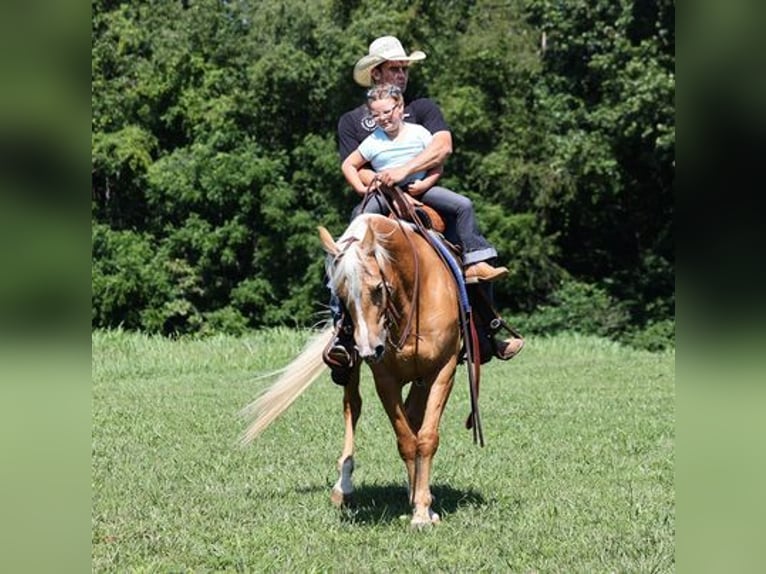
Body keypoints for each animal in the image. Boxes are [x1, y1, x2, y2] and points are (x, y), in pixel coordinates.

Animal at [243, 214, 462, 528]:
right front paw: (419, 508)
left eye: (378, 289)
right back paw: (344, 486)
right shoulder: (385, 379)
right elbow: (406, 440)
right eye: (341, 295)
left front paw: (423, 508)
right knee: (353, 405)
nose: (370, 349)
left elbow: (426, 437)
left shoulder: (443, 370)